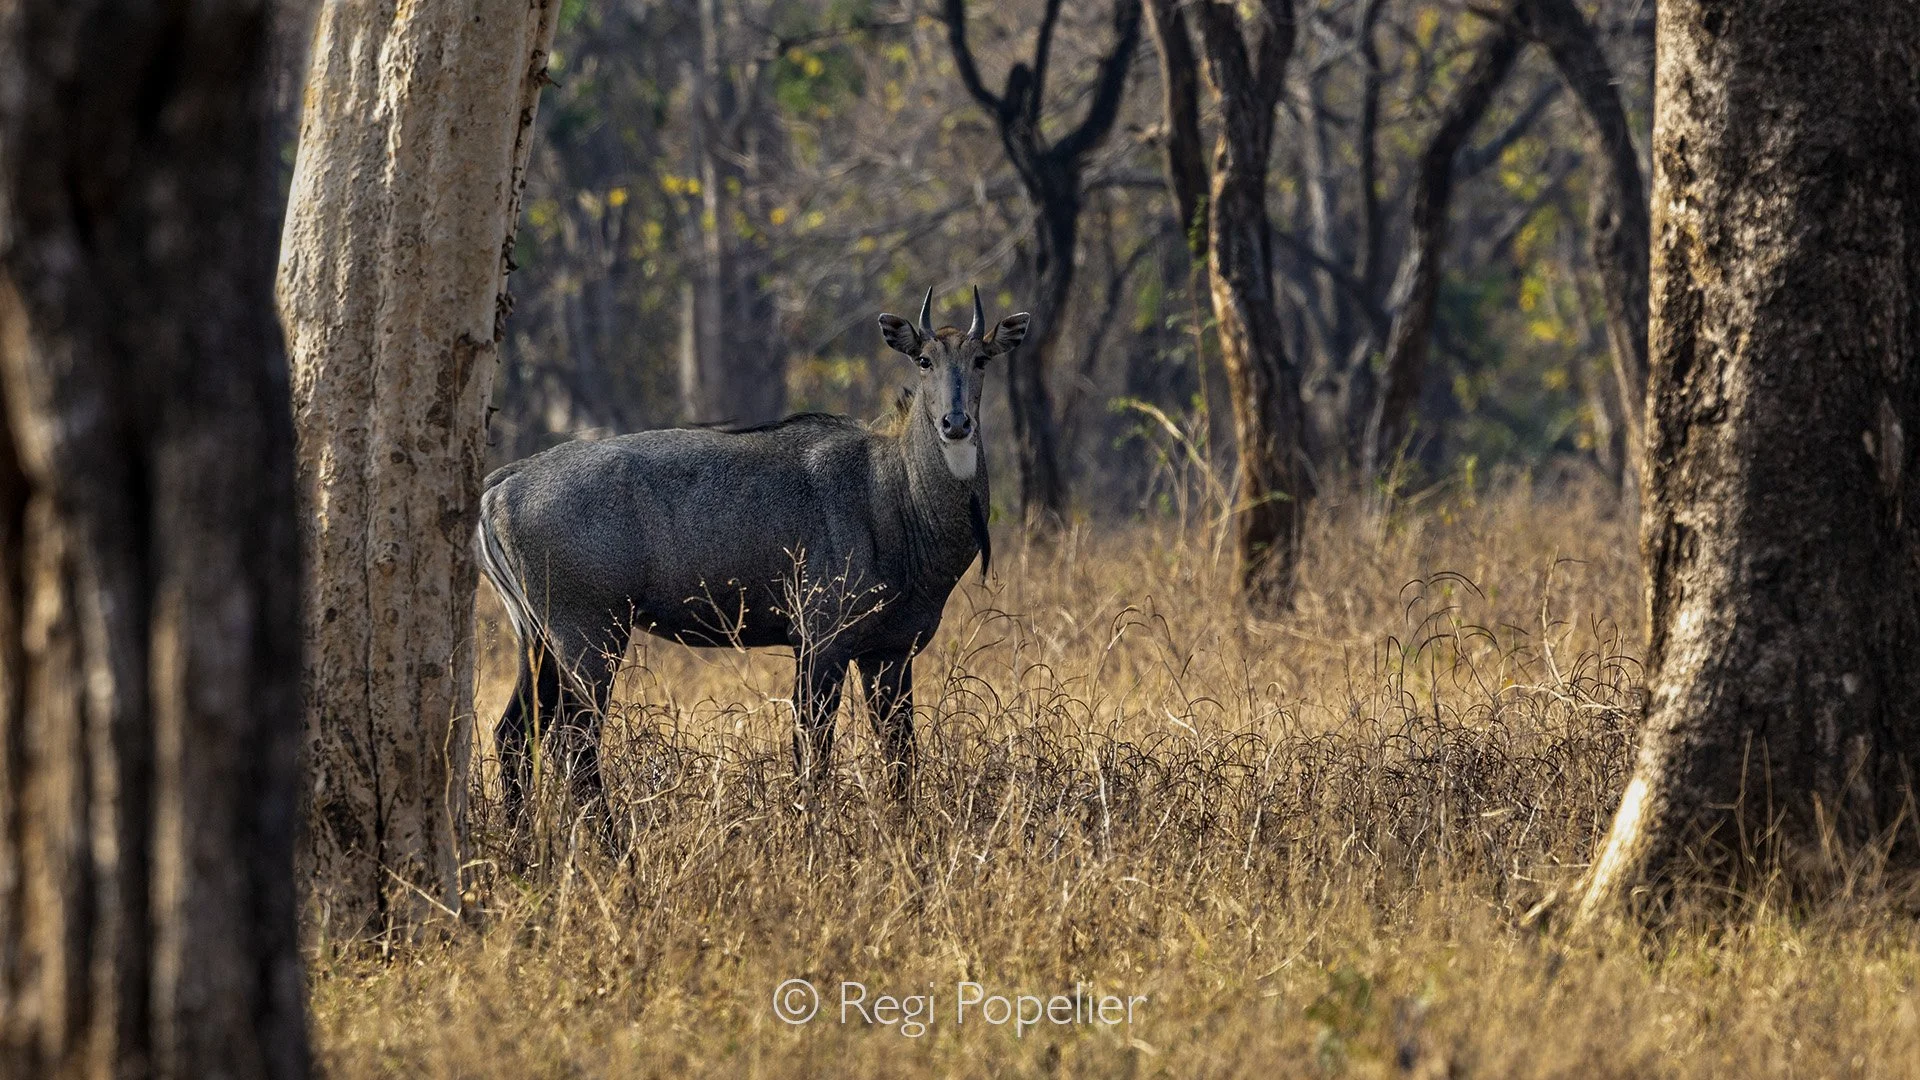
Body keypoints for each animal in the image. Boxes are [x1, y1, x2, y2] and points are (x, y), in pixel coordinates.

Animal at [476, 288, 1029, 817]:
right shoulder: (820, 640)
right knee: (573, 744)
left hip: (540, 638)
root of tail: (500, 487)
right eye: (923, 360)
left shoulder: (889, 653)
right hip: (589, 634)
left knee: (513, 735)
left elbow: (901, 755)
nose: (955, 423)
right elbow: (812, 752)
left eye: (982, 359)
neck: (894, 494)